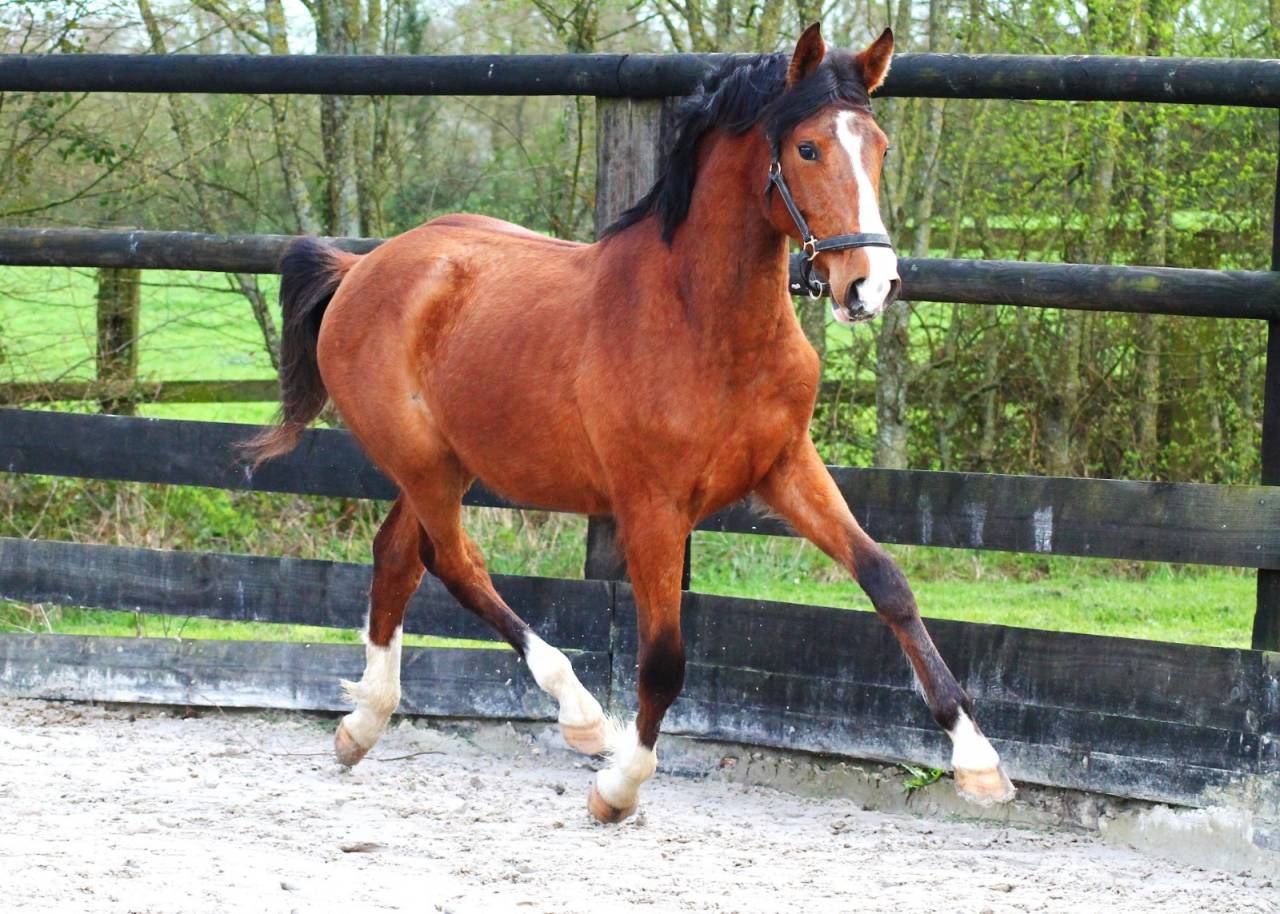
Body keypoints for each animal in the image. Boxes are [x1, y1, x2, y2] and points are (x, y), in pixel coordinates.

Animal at [244, 22, 1015, 823]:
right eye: (807, 149)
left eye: (881, 148)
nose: (870, 285)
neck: (701, 325)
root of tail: (360, 271)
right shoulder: (652, 506)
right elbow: (664, 658)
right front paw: (619, 786)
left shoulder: (785, 467)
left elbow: (886, 580)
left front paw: (980, 764)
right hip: (422, 463)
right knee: (455, 563)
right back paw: (581, 716)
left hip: (445, 465)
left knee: (399, 555)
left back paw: (361, 725)